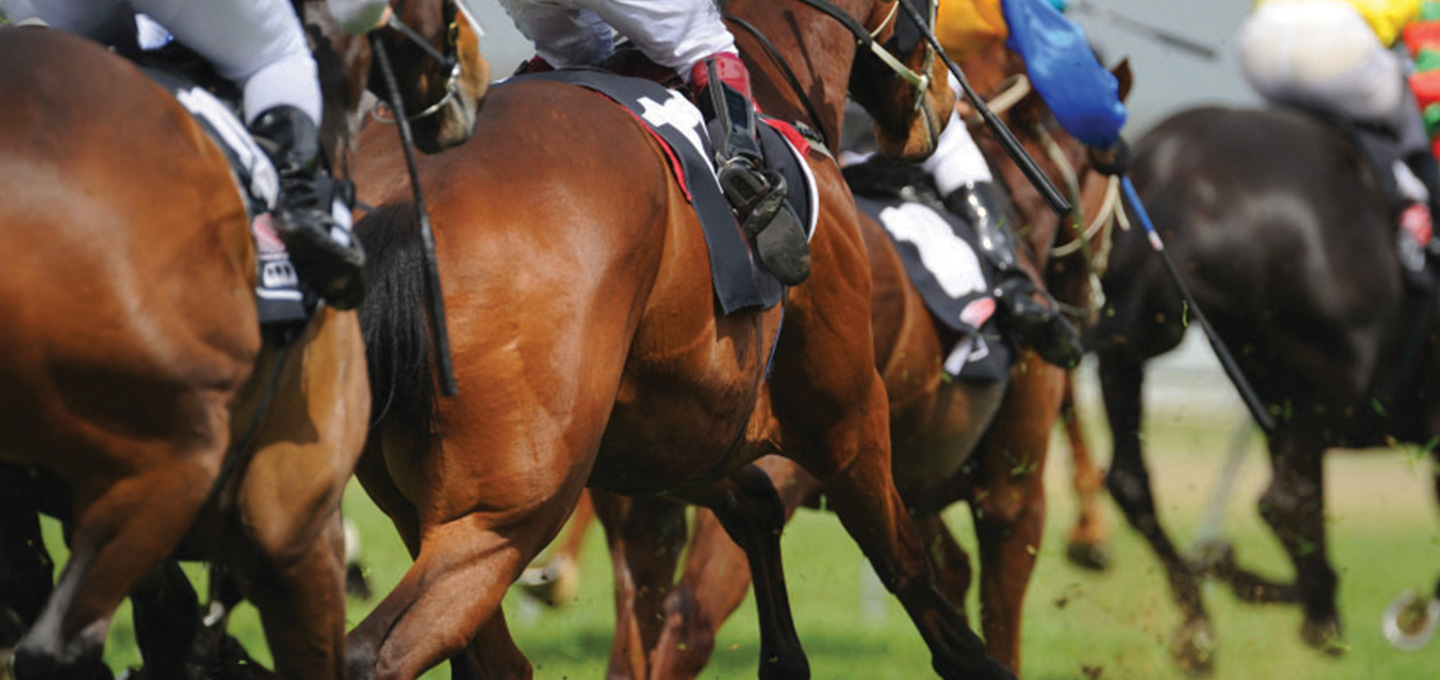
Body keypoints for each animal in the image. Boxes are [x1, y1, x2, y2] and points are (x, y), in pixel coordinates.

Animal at [590, 39, 1128, 677]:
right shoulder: (1011, 495)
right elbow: (998, 615)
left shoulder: (907, 486)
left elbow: (946, 571)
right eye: (1109, 164)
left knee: (637, 616)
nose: (1084, 309)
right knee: (690, 614)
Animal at [1088, 103, 1440, 671]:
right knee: (1285, 501)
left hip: (1137, 343)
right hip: (1332, 379)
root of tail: (1181, 171)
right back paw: (1316, 613)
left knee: (1130, 481)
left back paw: (1204, 619)